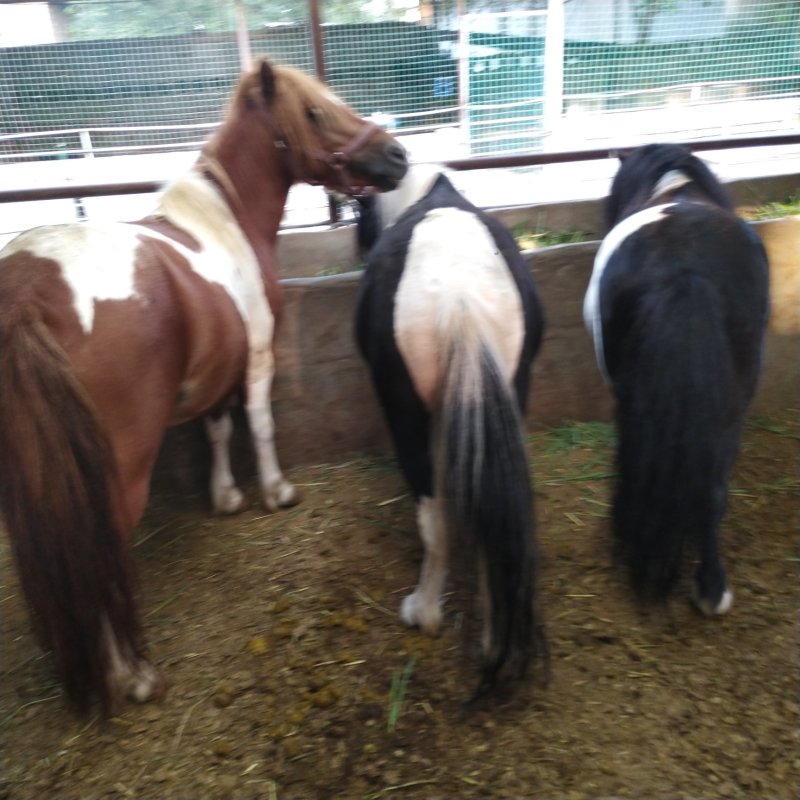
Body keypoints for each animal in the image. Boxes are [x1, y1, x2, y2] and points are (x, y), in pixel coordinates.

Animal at [0, 57, 408, 715]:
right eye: (314, 111)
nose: (397, 155)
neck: (226, 222)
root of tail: (25, 295)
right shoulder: (258, 356)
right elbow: (260, 424)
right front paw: (275, 491)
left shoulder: (215, 370)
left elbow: (215, 428)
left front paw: (226, 497)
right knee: (94, 557)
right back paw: (132, 677)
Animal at [354, 163, 546, 704]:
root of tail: (460, 298)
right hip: (511, 394)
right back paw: (490, 637)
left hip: (407, 419)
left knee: (434, 520)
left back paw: (423, 612)